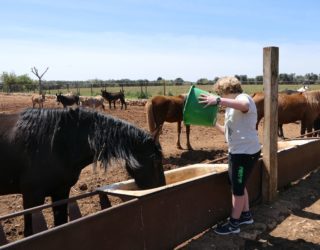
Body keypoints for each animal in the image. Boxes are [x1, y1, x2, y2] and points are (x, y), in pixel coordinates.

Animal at [0, 108, 165, 236]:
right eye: (156, 161)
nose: (161, 188)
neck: (57, 143)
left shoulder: (60, 192)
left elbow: (60, 224)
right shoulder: (31, 198)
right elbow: (29, 232)